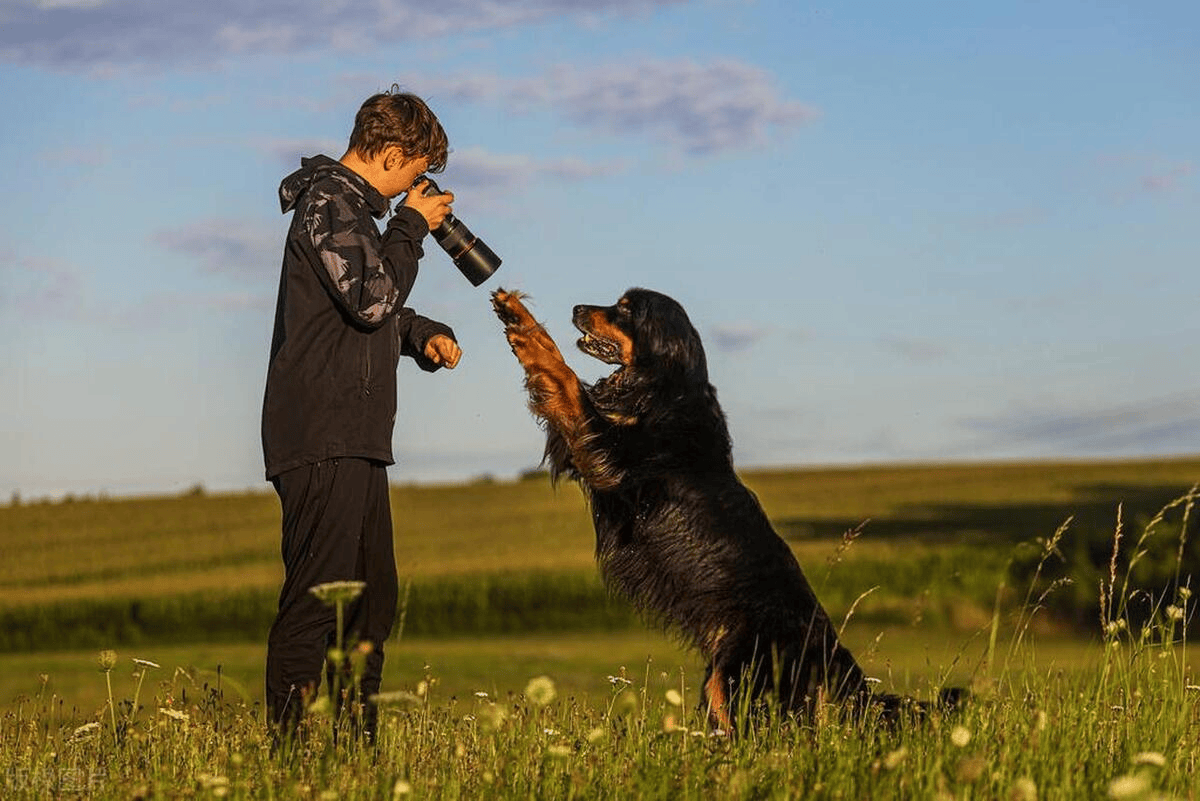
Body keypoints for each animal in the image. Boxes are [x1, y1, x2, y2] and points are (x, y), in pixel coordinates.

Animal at [487, 287, 955, 724]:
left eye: (624, 308)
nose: (578, 308)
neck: (665, 389)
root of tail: (848, 676)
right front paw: (517, 317)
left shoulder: (609, 455)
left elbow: (565, 375)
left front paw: (525, 330)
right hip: (721, 680)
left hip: (742, 679)